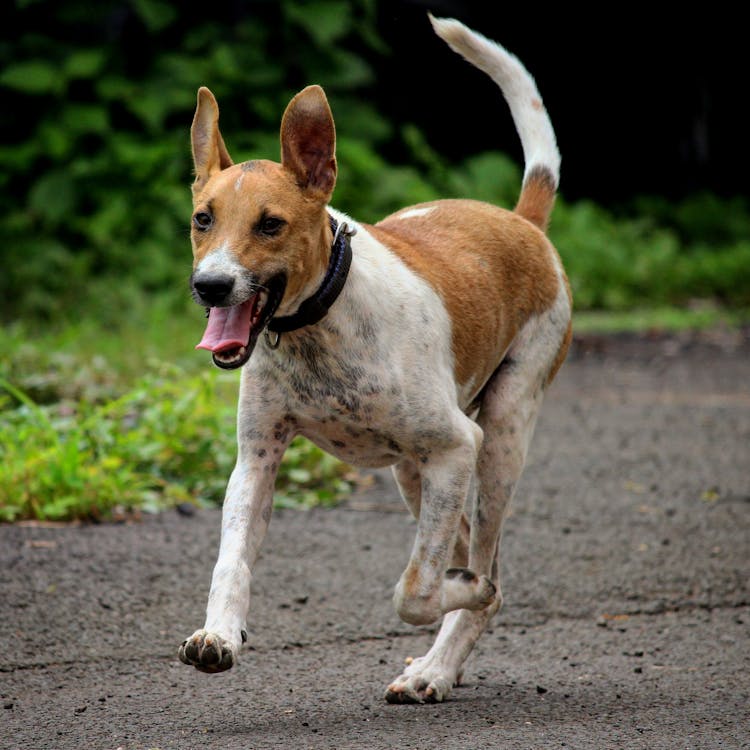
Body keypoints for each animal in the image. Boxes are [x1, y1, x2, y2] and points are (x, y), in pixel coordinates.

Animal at [179, 13, 572, 704]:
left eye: (270, 224)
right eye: (203, 218)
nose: (212, 286)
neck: (318, 327)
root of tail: (523, 222)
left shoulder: (456, 444)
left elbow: (414, 590)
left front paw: (459, 594)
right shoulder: (256, 461)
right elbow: (232, 561)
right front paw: (220, 635)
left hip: (497, 437)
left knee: (487, 572)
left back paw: (440, 661)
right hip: (415, 473)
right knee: (462, 549)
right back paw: (438, 664)